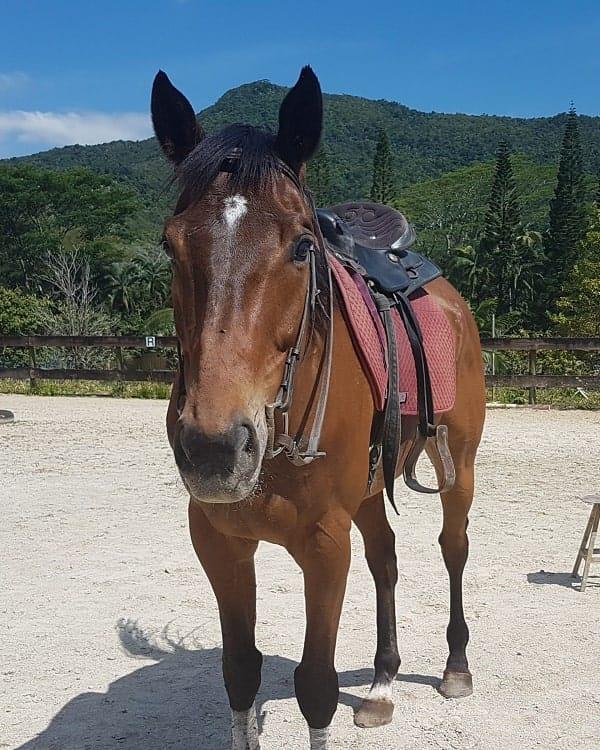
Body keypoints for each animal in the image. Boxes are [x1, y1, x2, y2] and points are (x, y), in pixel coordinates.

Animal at [151, 65, 486, 750]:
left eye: (303, 248)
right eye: (171, 247)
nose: (215, 449)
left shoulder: (325, 544)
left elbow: (316, 686)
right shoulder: (218, 540)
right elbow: (240, 670)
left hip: (457, 466)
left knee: (453, 546)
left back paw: (455, 666)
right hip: (369, 488)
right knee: (386, 557)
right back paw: (382, 683)